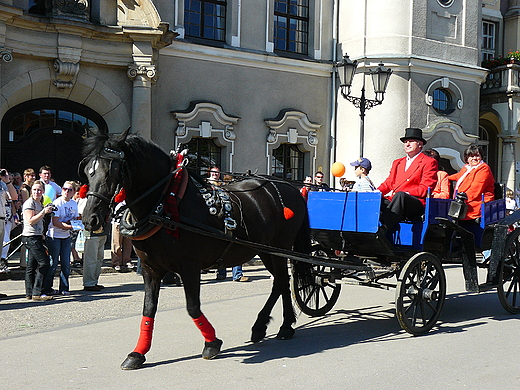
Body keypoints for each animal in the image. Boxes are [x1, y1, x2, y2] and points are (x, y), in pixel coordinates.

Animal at [81, 131, 308, 368]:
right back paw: (278, 325)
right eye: (88, 171)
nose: (90, 219)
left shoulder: (189, 267)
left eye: (113, 170)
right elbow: (148, 309)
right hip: (266, 250)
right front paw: (138, 353)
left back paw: (275, 326)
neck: (165, 203)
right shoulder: (151, 269)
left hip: (280, 246)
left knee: (281, 280)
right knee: (282, 281)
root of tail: (289, 187)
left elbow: (192, 307)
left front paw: (212, 343)